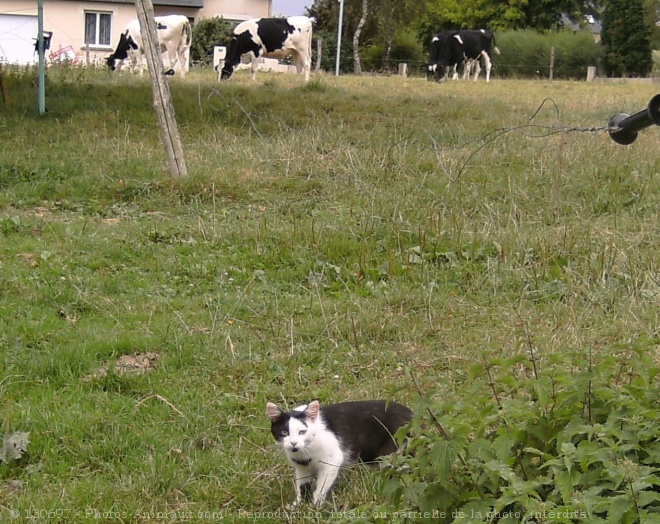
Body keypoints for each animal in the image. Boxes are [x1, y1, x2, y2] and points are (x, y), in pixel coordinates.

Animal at [264, 400, 410, 506]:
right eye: (284, 432)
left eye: (302, 432)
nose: (293, 443)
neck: (305, 452)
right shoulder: (302, 468)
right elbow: (302, 486)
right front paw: (297, 506)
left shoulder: (332, 461)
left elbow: (321, 487)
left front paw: (315, 506)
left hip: (394, 453)